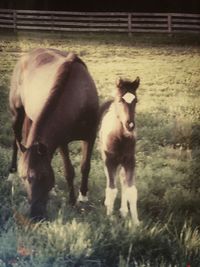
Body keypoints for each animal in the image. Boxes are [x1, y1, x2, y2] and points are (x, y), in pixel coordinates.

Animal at [8, 47, 99, 220]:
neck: (78, 98)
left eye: (43, 176)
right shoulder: (62, 141)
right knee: (16, 141)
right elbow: (69, 171)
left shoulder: (90, 136)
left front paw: (82, 198)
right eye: (24, 178)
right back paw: (11, 173)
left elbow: (85, 166)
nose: (35, 215)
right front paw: (72, 202)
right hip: (17, 113)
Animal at [99, 77, 140, 226]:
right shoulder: (109, 160)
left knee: (122, 180)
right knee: (110, 179)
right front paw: (109, 217)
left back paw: (123, 210)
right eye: (120, 100)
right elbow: (112, 189)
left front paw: (136, 222)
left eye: (136, 101)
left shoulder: (130, 161)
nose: (130, 125)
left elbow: (131, 190)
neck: (120, 138)